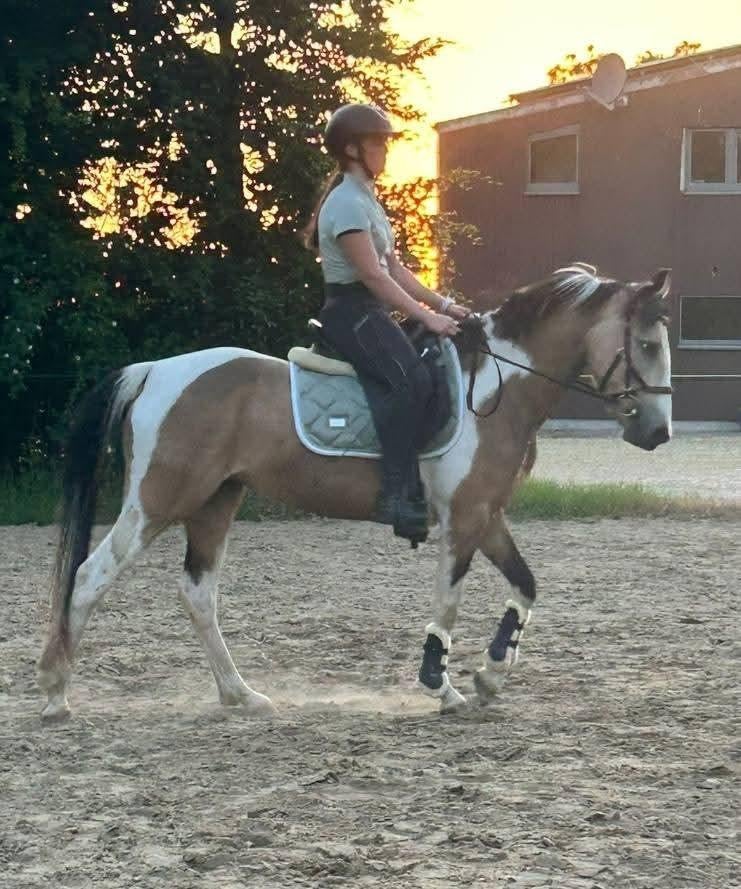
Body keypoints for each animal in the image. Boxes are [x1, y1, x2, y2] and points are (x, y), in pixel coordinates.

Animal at [38, 264, 673, 721]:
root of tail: (154, 370)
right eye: (646, 344)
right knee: (89, 577)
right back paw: (55, 693)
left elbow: (526, 585)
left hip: (217, 502)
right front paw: (442, 687)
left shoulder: (487, 514)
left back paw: (240, 695)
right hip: (158, 501)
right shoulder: (463, 517)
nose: (658, 432)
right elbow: (448, 602)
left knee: (197, 595)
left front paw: (492, 672)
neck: (496, 388)